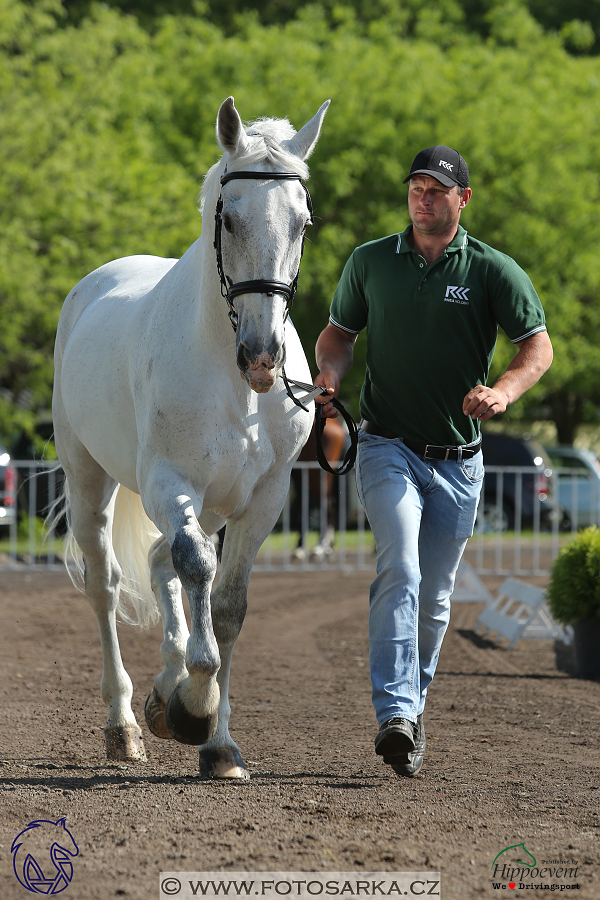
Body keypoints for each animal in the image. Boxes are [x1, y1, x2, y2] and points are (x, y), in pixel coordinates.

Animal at [52, 95, 328, 776]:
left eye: (303, 222)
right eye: (228, 218)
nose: (263, 353)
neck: (232, 381)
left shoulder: (264, 500)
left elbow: (226, 608)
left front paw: (219, 742)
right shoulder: (169, 484)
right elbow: (197, 568)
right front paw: (193, 707)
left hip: (208, 505)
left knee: (163, 562)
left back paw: (162, 692)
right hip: (90, 480)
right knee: (109, 585)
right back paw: (126, 724)